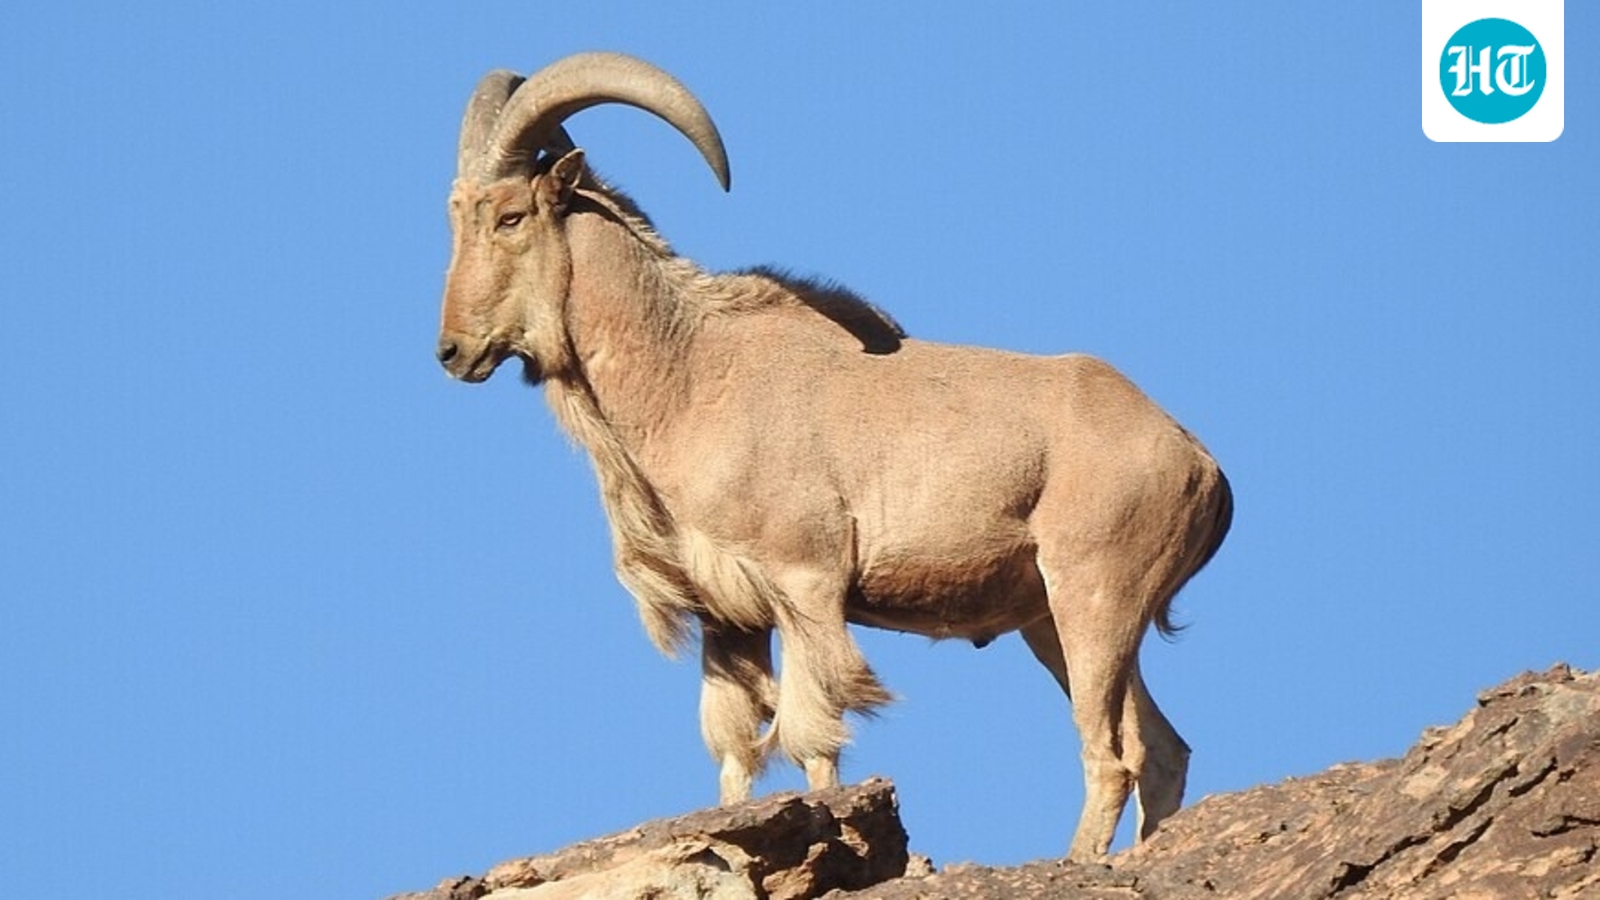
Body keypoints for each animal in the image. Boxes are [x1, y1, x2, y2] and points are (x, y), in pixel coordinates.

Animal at [435, 52, 1233, 862]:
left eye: (510, 216)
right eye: (455, 217)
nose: (453, 351)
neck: (691, 373)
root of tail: (1199, 464)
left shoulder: (807, 584)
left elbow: (812, 739)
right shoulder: (729, 618)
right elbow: (735, 751)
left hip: (1093, 597)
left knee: (1110, 755)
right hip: (1058, 622)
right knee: (1161, 750)